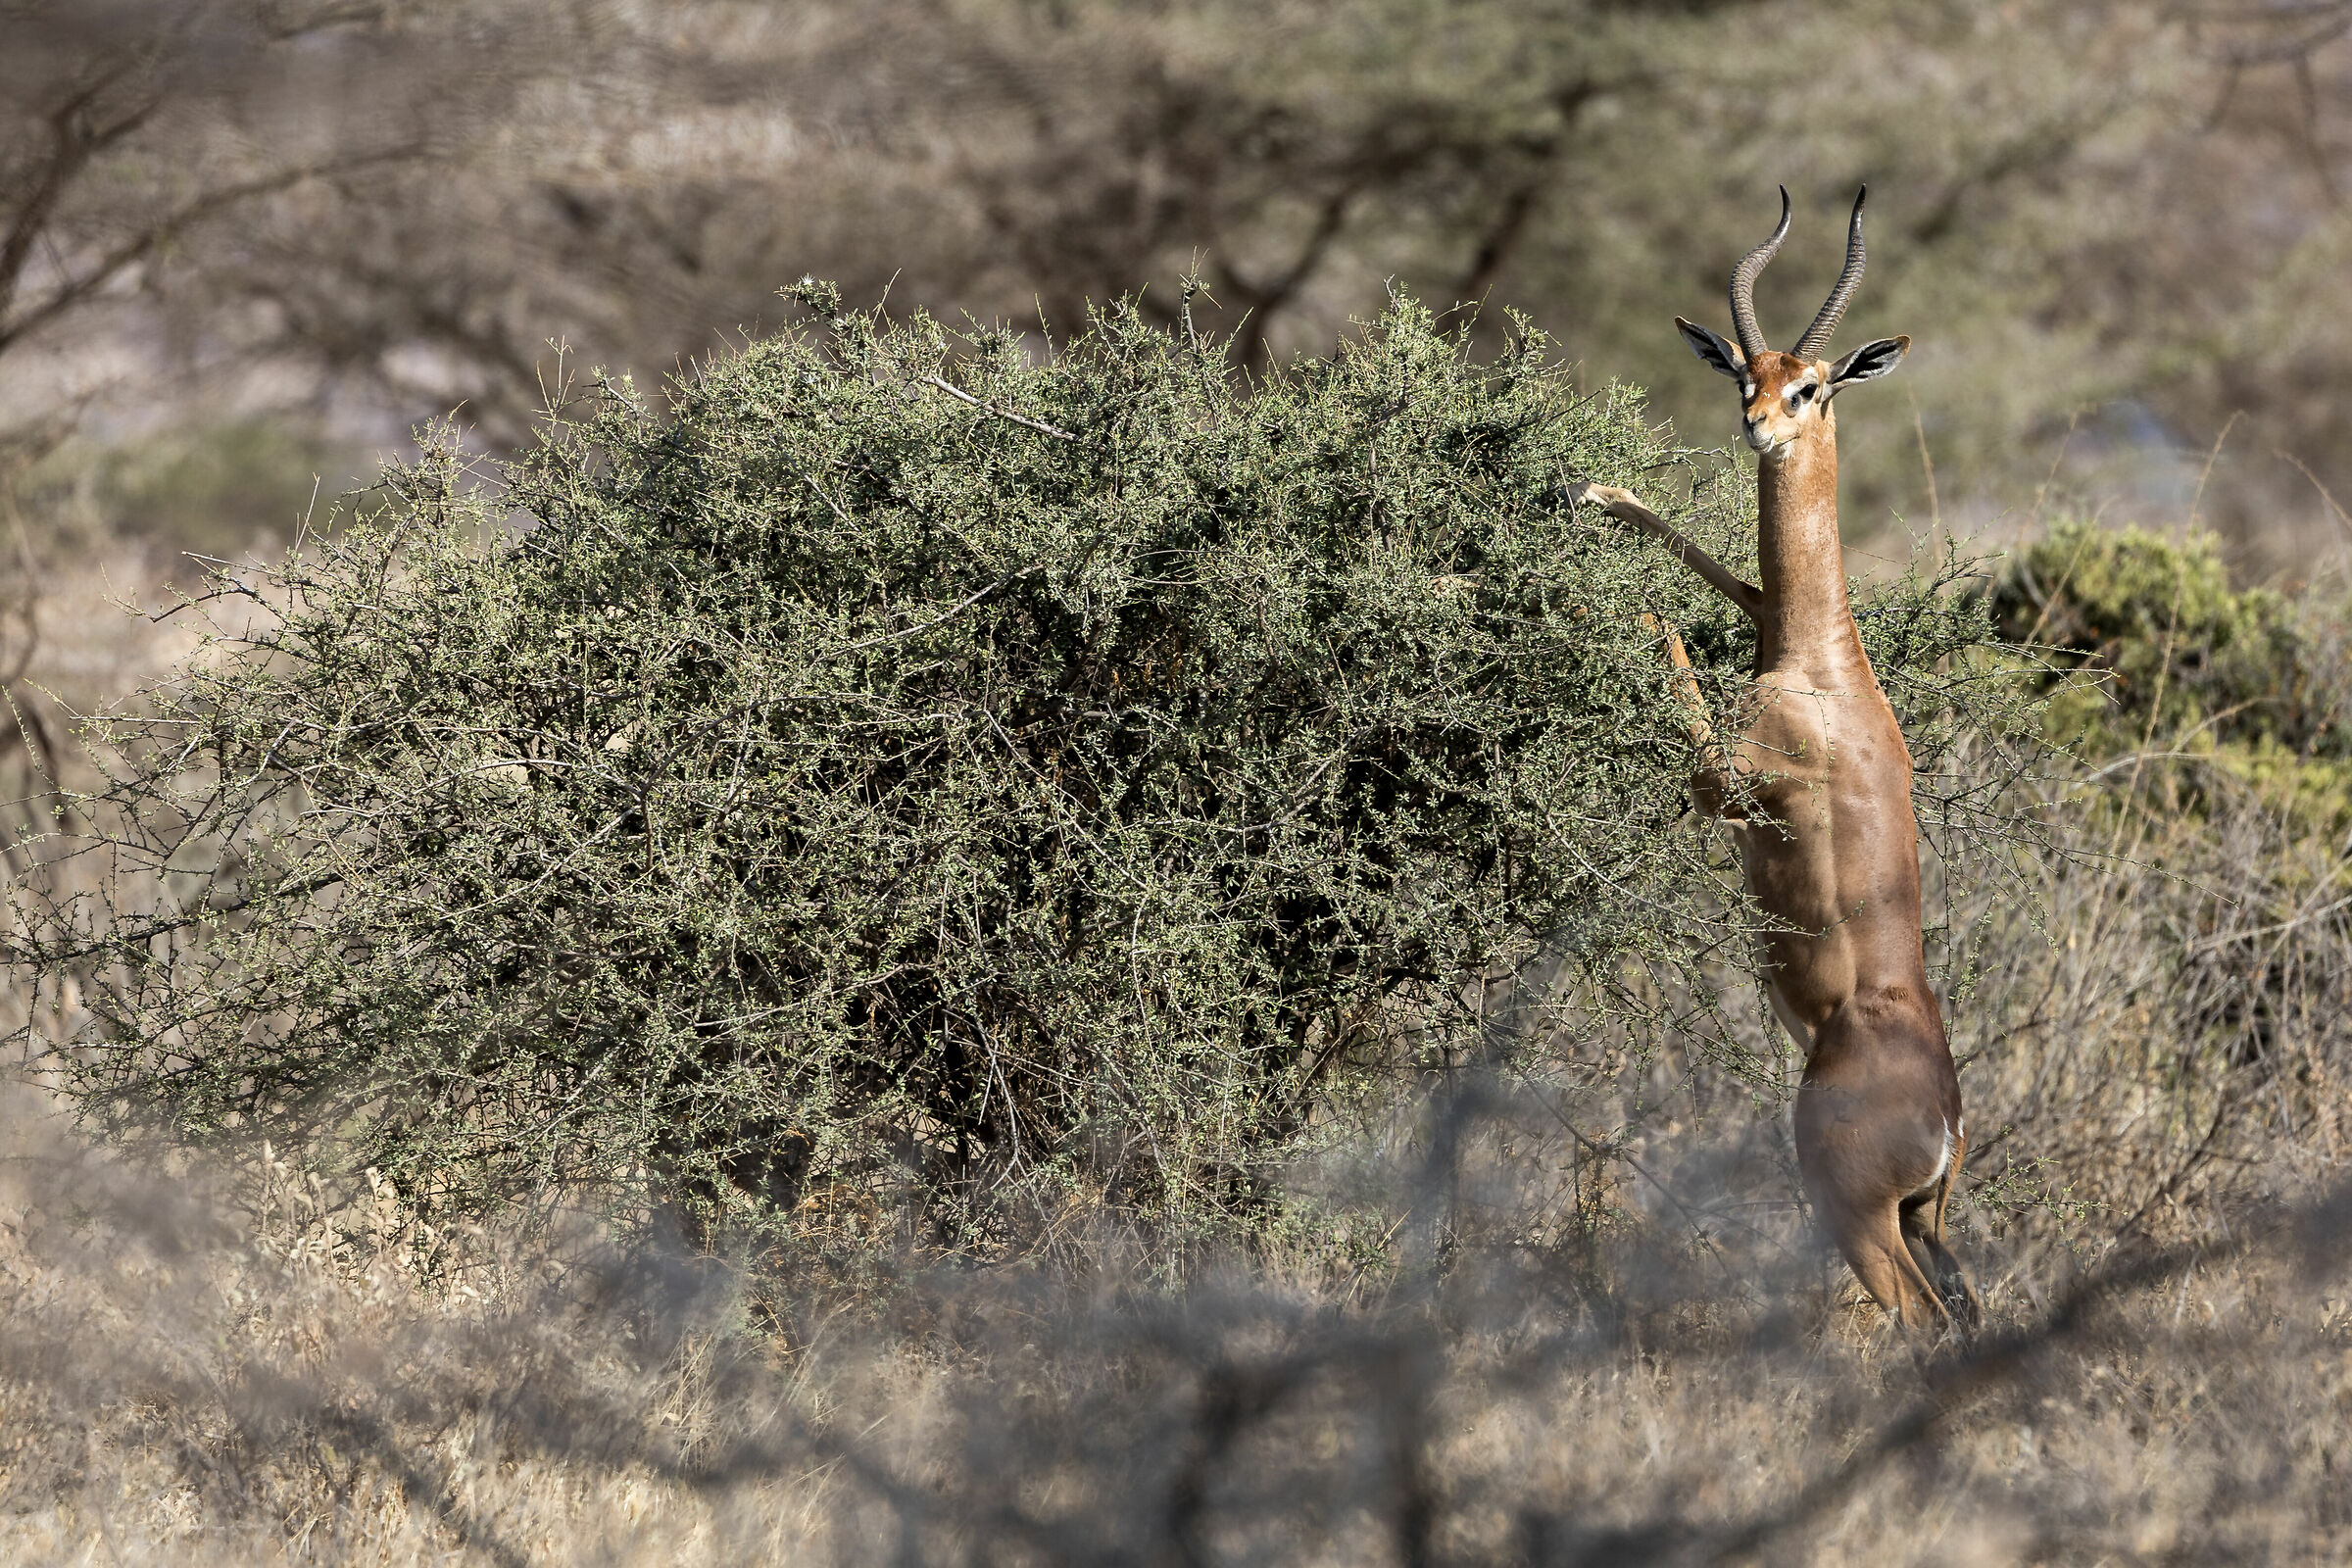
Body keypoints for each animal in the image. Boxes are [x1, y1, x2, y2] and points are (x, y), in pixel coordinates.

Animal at [1571, 187, 1980, 1333]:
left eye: (1810, 385)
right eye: (1743, 375)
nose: (1758, 428)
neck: (1820, 662)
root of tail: (1943, 1122)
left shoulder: (1728, 785)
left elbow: (1675, 650)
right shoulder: (1766, 618)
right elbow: (1732, 575)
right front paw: (1599, 493)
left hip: (1858, 1216)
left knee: (1921, 1324)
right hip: (1925, 1223)